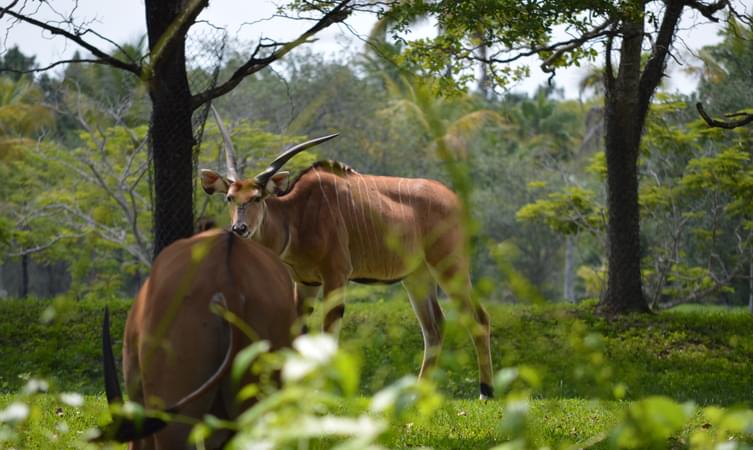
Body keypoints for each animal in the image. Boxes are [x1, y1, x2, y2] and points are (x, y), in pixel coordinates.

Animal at [200, 107, 494, 400]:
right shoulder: (305, 282)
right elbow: (298, 333)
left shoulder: (336, 275)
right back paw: (417, 394)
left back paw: (486, 392)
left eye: (257, 197)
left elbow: (328, 333)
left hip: (450, 268)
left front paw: (323, 391)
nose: (239, 229)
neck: (296, 215)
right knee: (434, 327)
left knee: (478, 318)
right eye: (229, 197)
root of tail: (457, 201)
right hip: (417, 277)